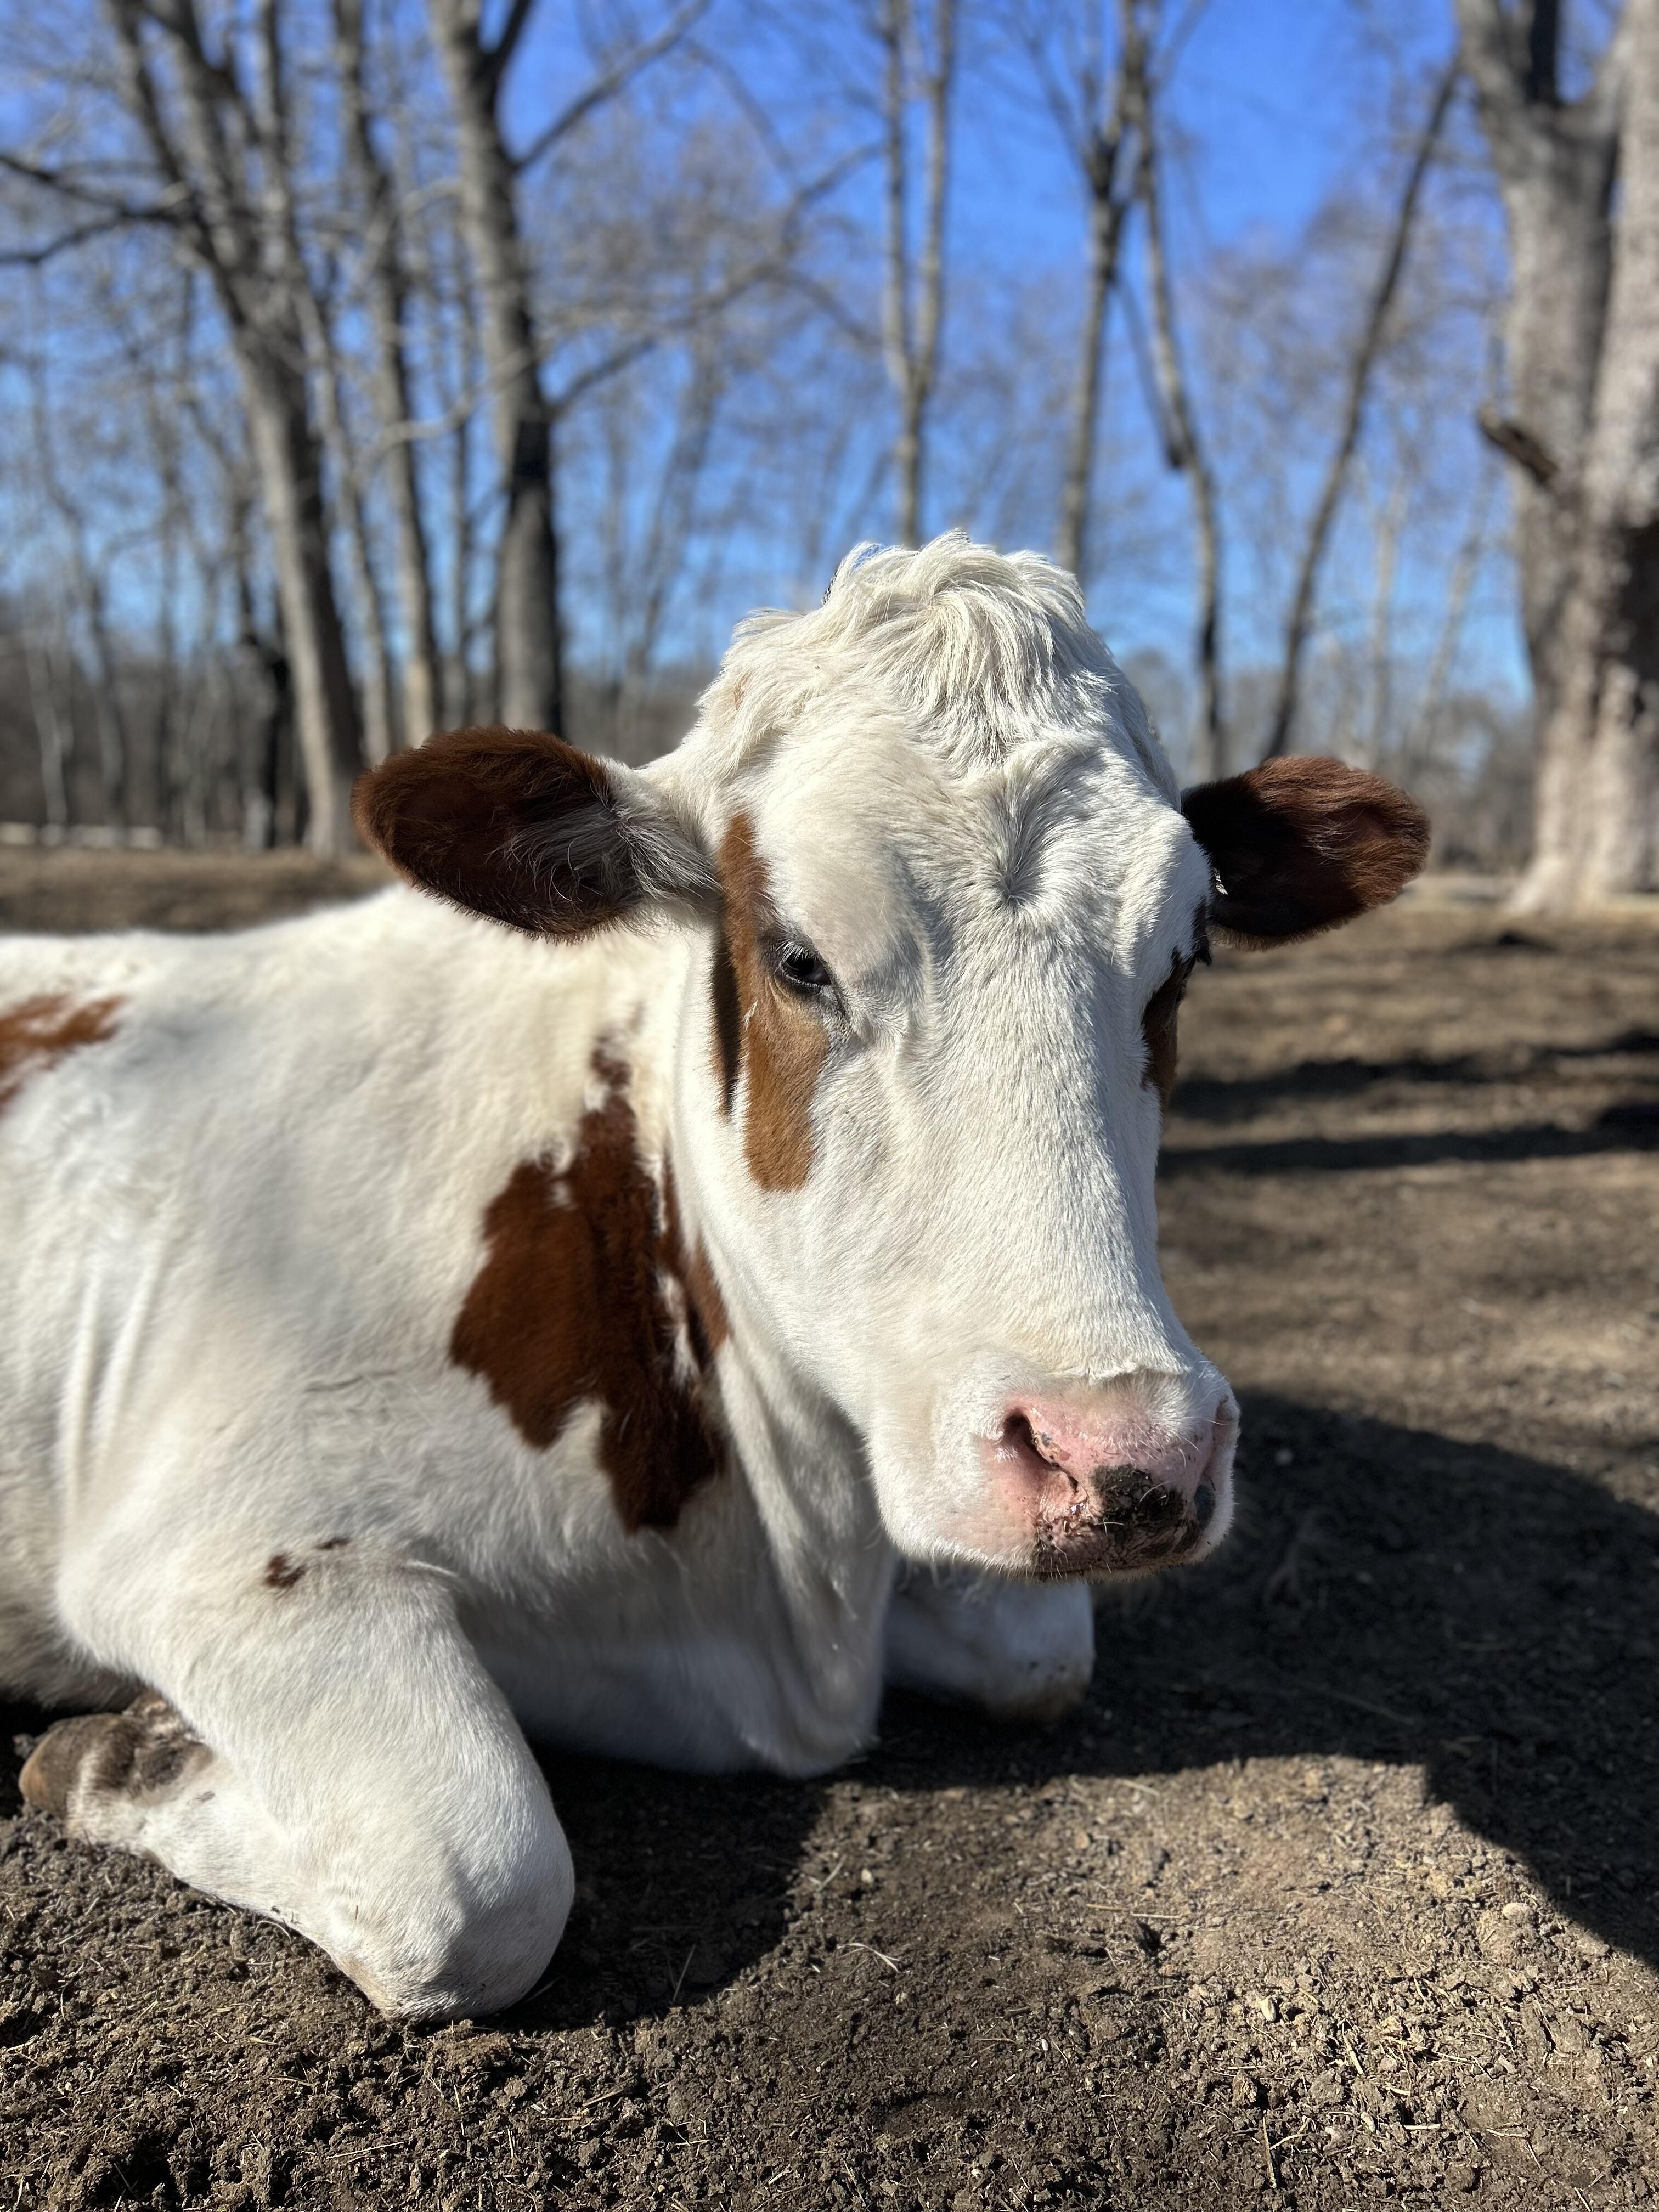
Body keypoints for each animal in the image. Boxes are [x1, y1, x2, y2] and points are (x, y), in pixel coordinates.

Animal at [0, 537, 1427, 2020]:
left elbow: (1042, 1653)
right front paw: (120, 1751)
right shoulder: (211, 1547)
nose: (1131, 1457)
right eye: (798, 958)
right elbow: (477, 1884)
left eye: (1182, 962)